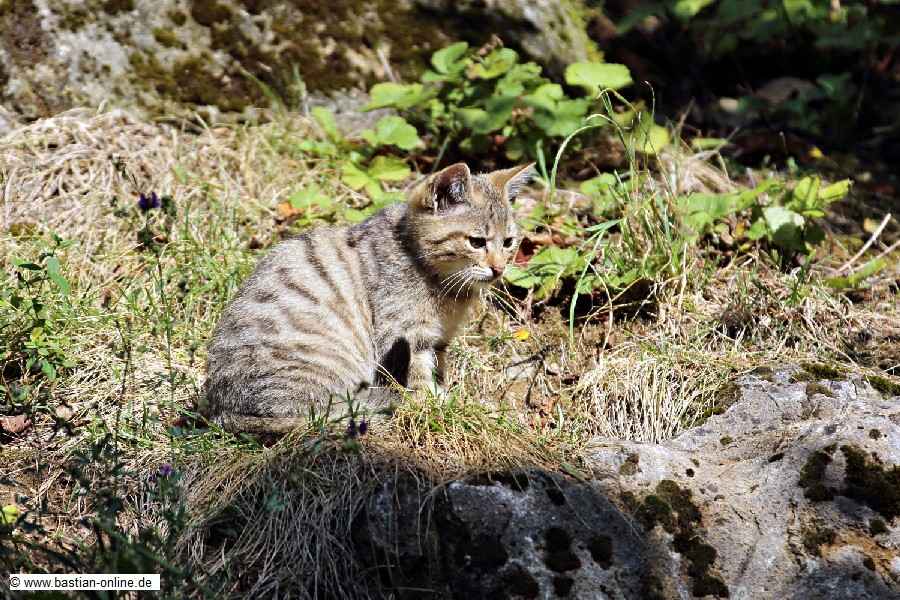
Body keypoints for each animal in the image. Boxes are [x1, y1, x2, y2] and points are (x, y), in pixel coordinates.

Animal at [200, 162, 532, 433]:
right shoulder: (404, 332)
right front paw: (429, 405)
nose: (499, 269)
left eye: (508, 242)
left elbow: (436, 369)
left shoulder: (438, 339)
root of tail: (221, 412)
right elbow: (419, 376)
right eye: (476, 242)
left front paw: (442, 397)